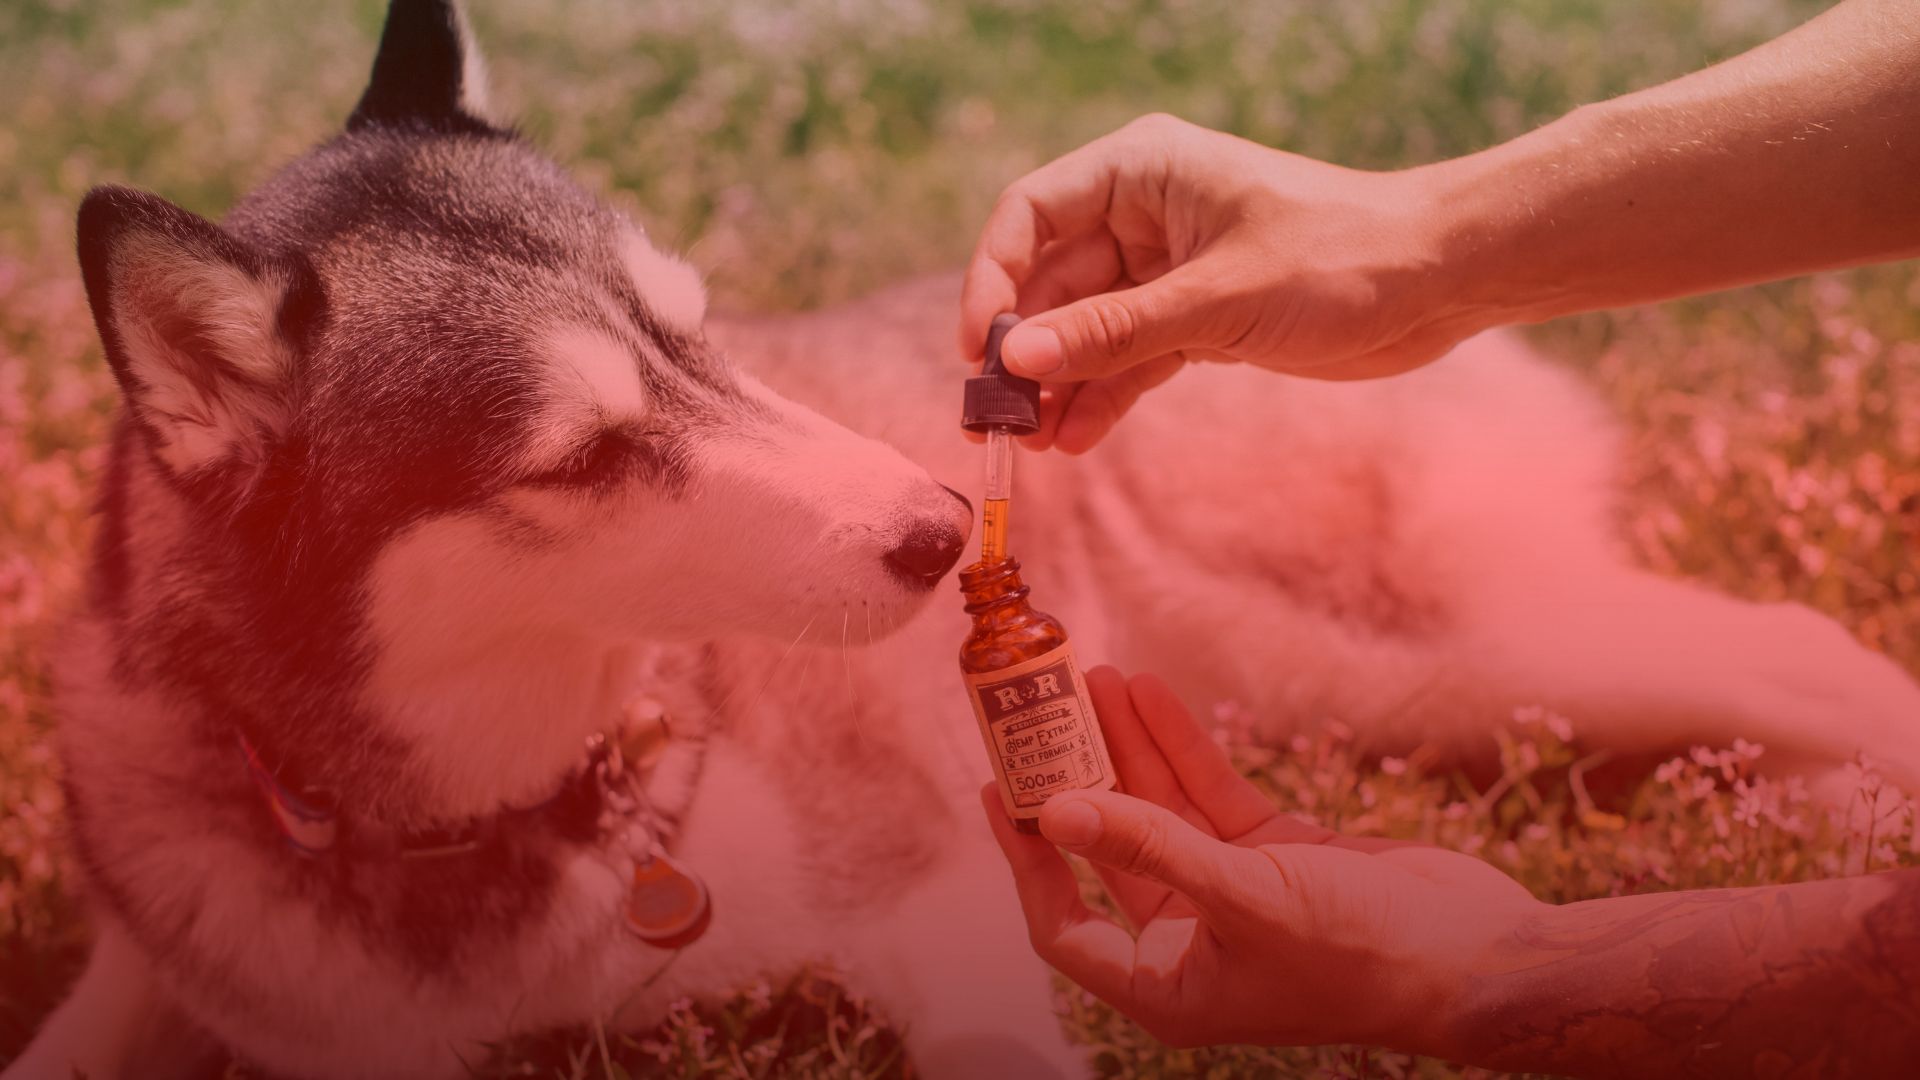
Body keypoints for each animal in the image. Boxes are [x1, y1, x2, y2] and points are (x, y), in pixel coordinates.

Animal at [15, 2, 1920, 1076]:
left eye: (706, 333)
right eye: (586, 455)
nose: (944, 531)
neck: (487, 819)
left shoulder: (929, 893)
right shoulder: (188, 959)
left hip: (1431, 655)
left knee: (1796, 651)